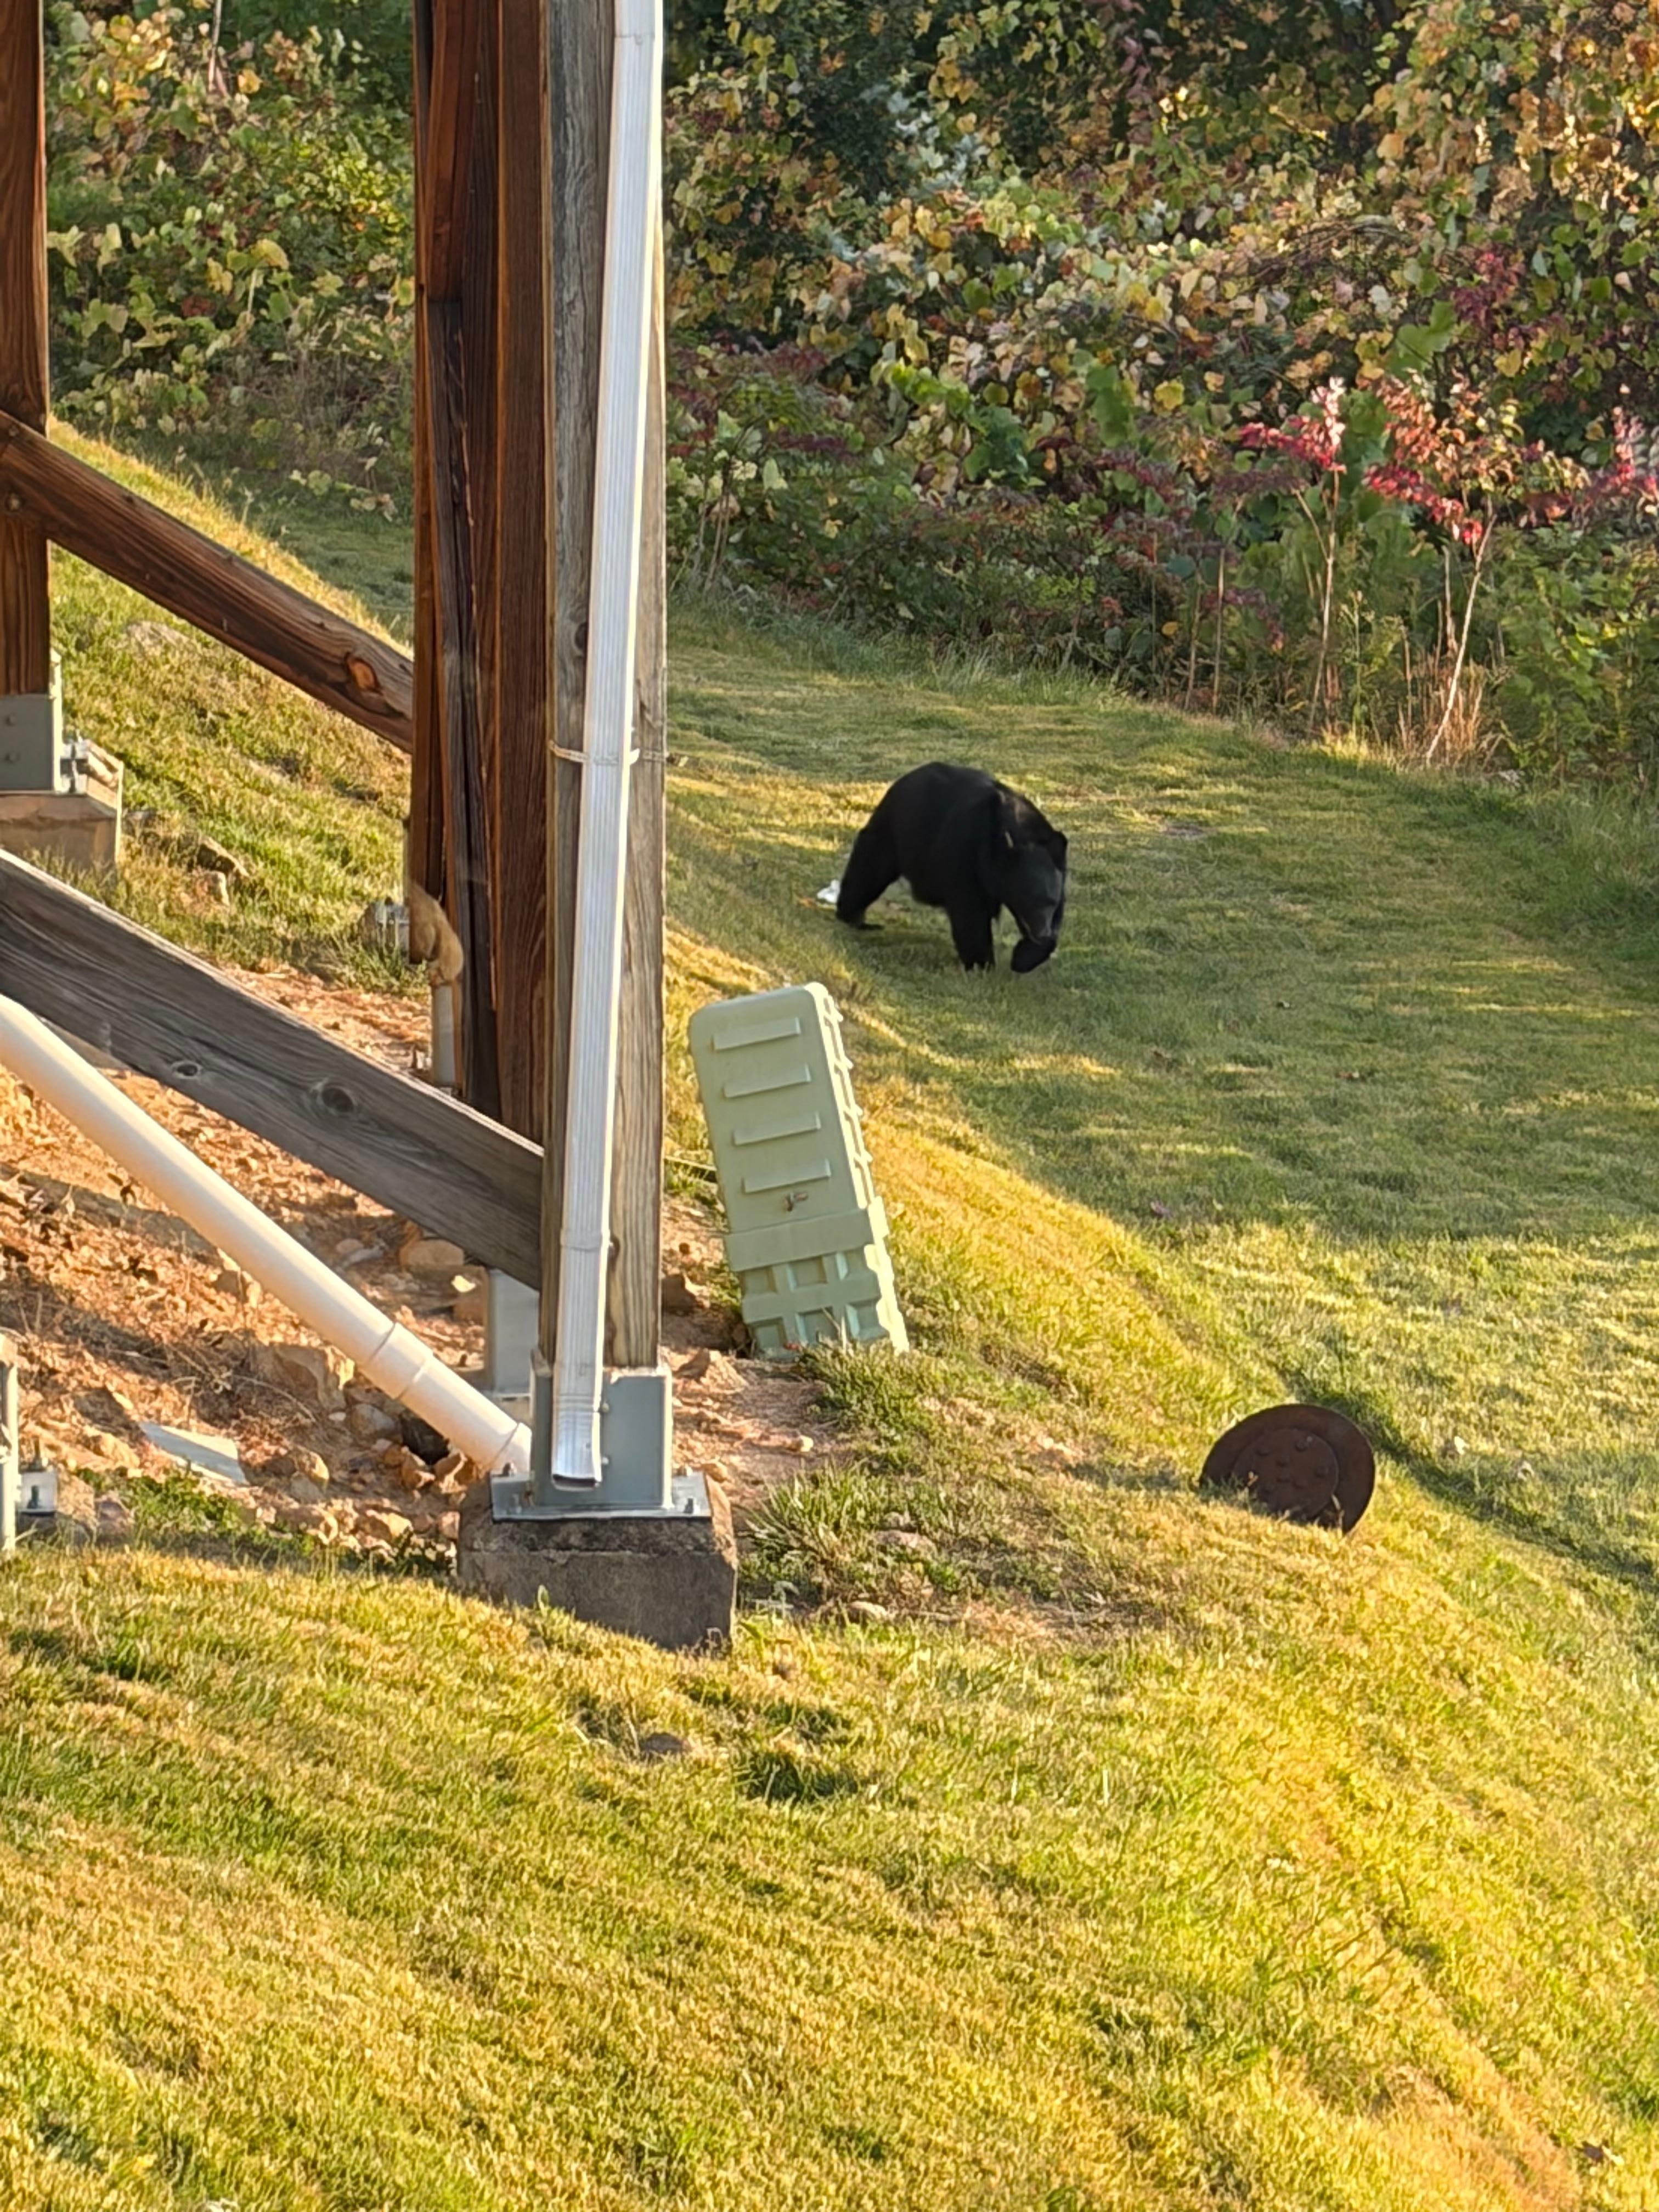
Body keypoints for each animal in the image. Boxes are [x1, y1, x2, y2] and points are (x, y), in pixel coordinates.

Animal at [835, 762, 1068, 973]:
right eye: (1029, 900)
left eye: (1049, 901)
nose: (1041, 933)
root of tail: (906, 779)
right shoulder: (967, 852)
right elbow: (970, 910)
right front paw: (982, 964)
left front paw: (1023, 958)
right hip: (894, 832)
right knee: (869, 869)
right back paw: (855, 918)